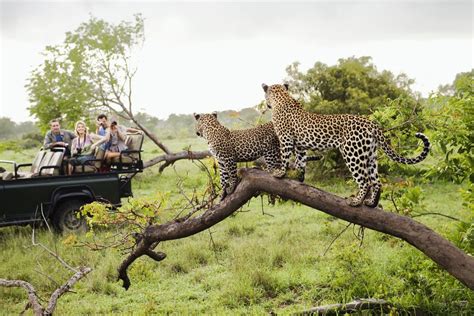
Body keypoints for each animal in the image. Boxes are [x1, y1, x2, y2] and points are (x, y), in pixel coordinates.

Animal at [262, 82, 432, 209]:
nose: (267, 104)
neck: (282, 98)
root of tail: (372, 124)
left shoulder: (285, 138)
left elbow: (285, 156)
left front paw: (280, 173)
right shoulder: (300, 145)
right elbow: (301, 161)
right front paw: (299, 177)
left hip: (352, 153)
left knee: (365, 181)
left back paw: (356, 202)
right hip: (370, 155)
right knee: (376, 181)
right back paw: (371, 203)